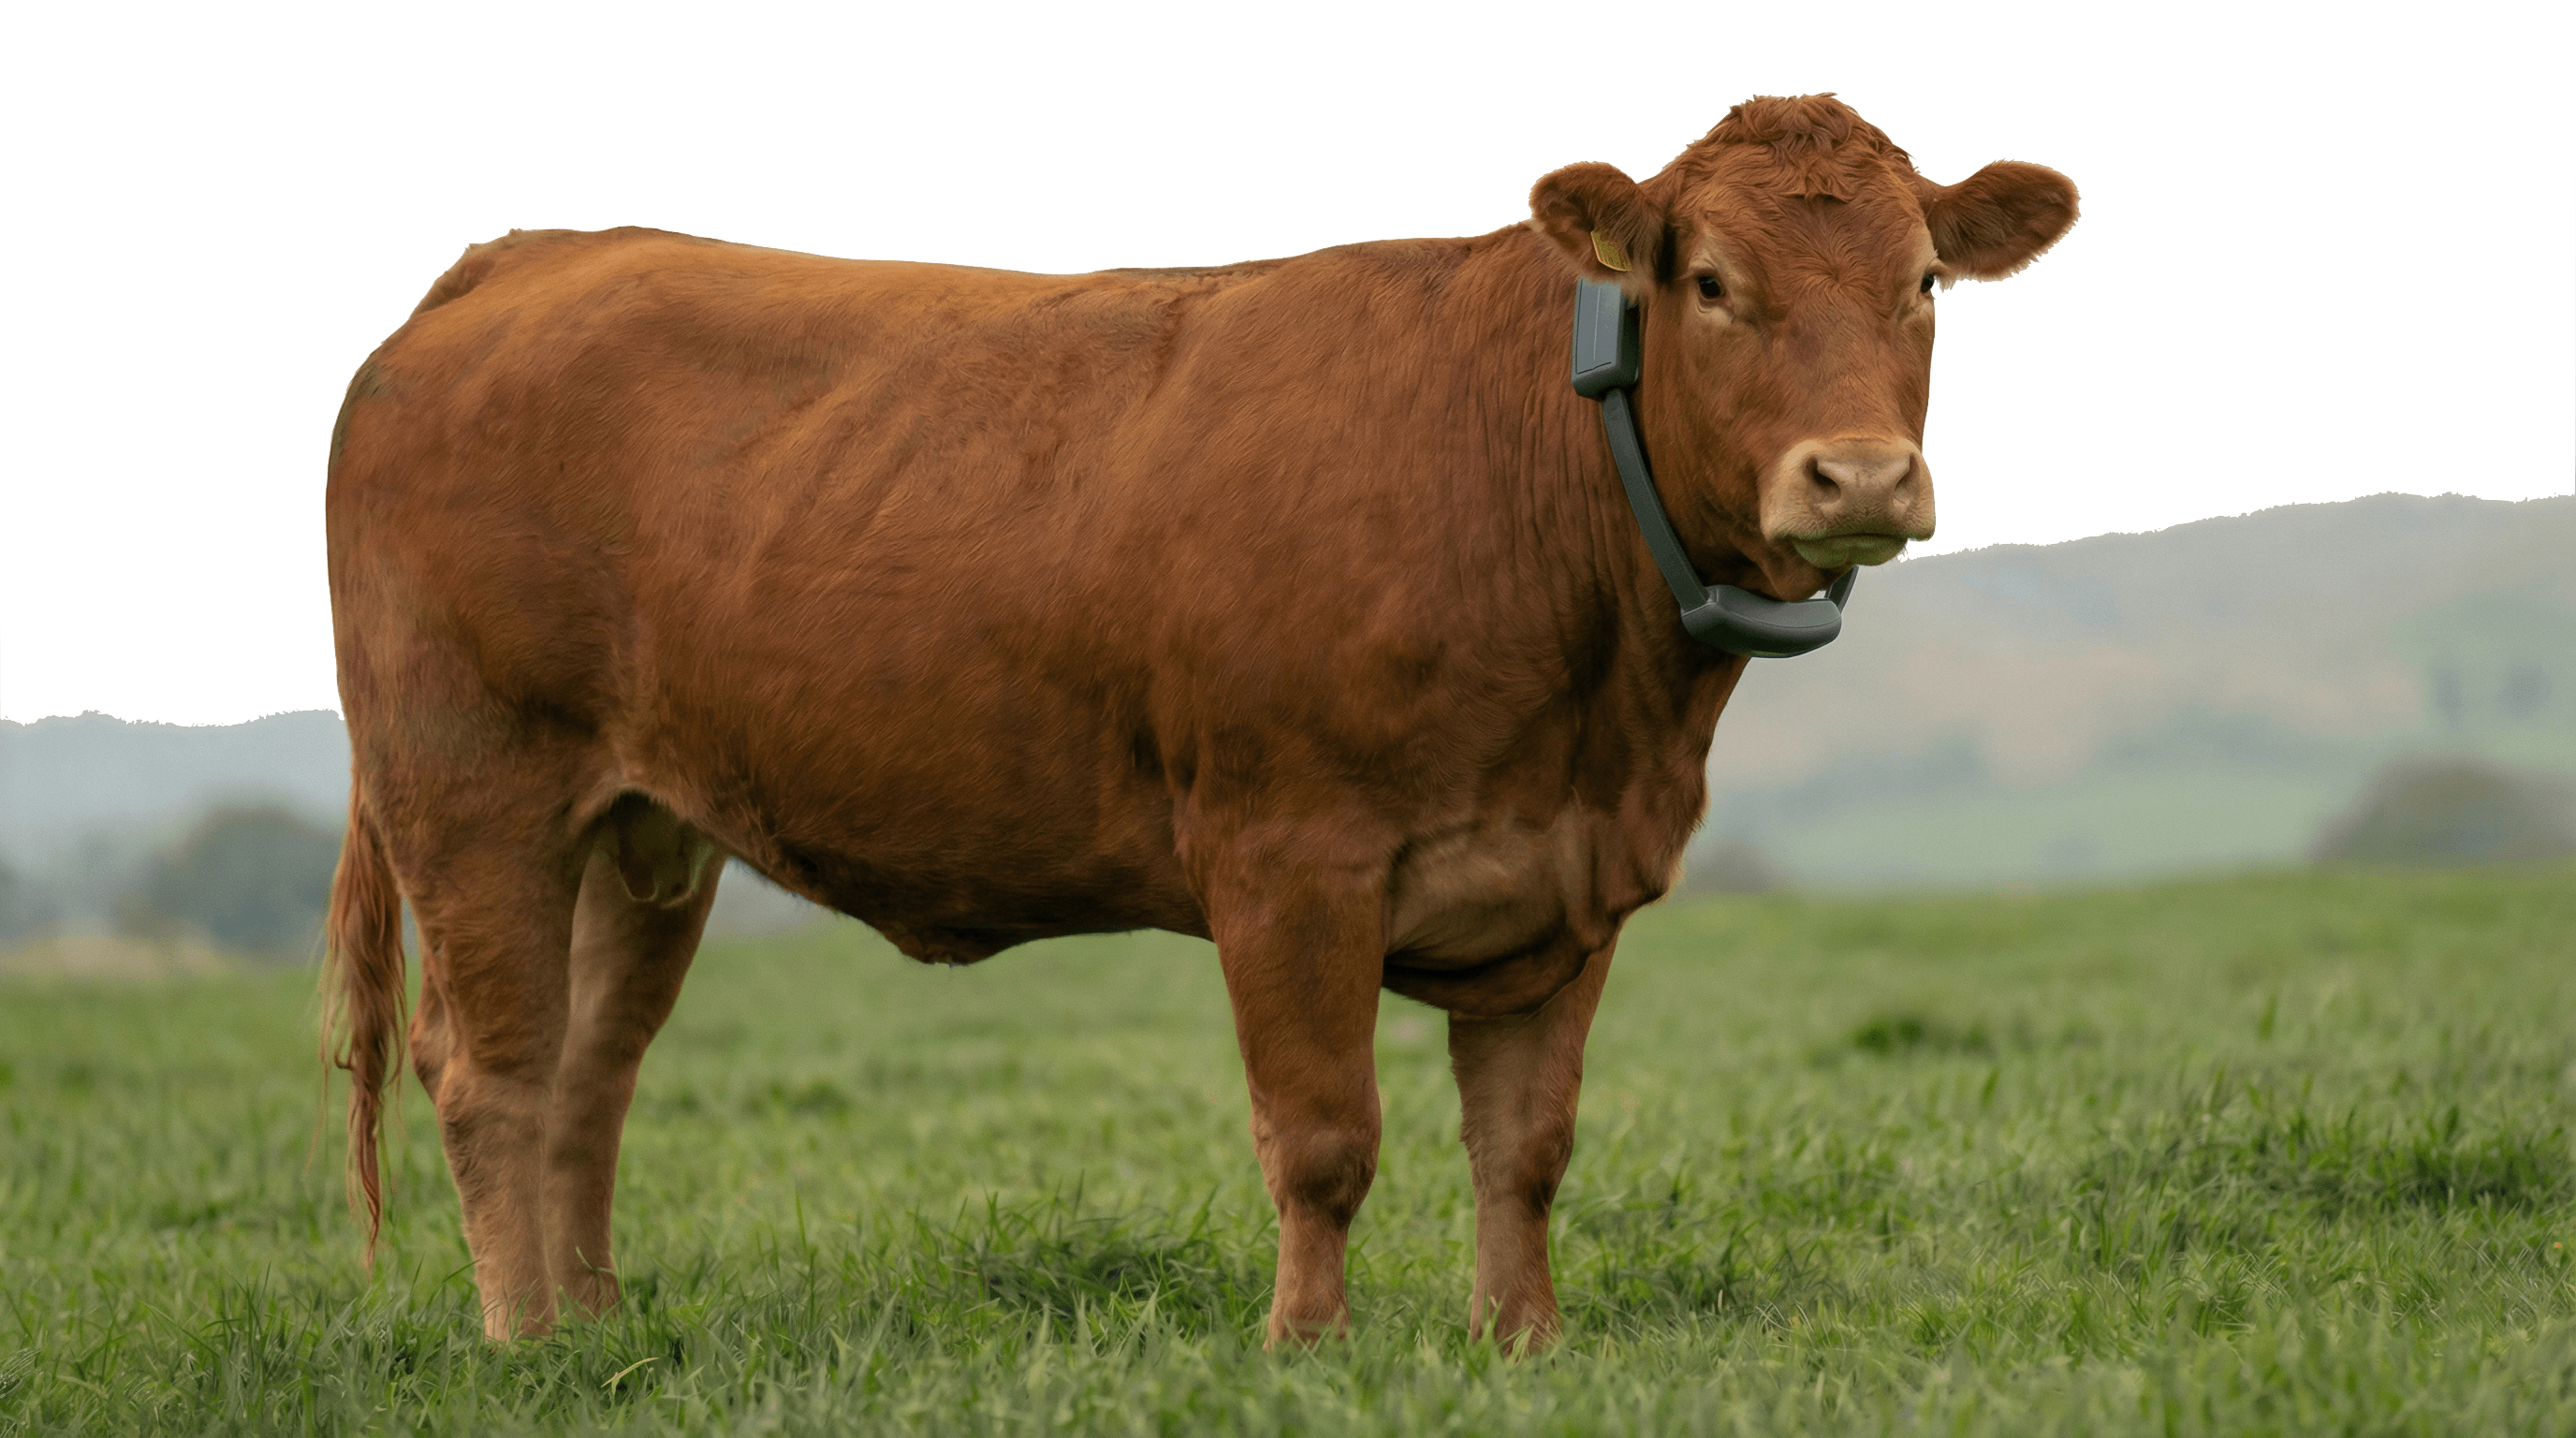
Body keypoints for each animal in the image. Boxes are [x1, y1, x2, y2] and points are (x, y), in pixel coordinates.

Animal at [322, 92, 2077, 1348]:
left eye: (1923, 284)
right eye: (1711, 284)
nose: (1860, 477)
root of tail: (529, 256)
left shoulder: (1568, 883)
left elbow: (1525, 1145)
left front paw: (1519, 1343)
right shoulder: (1290, 857)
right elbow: (1323, 1135)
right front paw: (1309, 1348)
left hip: (644, 830)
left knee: (590, 1070)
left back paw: (599, 1329)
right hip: (473, 788)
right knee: (491, 1069)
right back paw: (524, 1343)